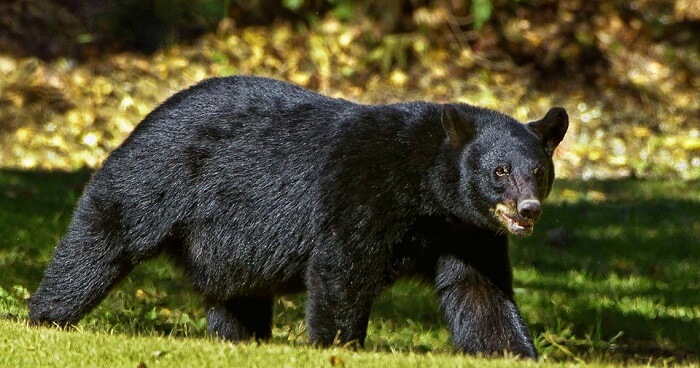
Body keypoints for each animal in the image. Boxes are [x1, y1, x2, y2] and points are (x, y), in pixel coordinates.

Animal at [31, 75, 568, 360]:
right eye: (500, 171)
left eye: (538, 171)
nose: (528, 210)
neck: (427, 191)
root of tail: (148, 114)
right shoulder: (364, 191)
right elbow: (341, 268)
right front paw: (340, 347)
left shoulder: (466, 230)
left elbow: (480, 291)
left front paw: (513, 352)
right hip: (158, 175)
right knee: (104, 235)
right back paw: (46, 316)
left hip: (228, 244)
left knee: (236, 296)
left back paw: (241, 341)